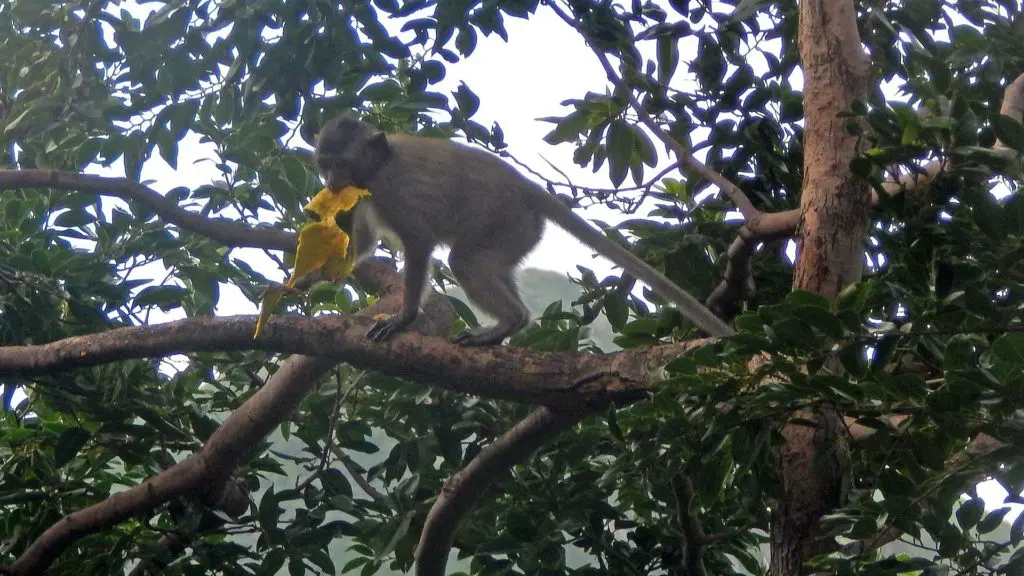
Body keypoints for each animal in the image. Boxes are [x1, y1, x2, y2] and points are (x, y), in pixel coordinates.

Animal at [313, 112, 737, 344]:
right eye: (324, 165)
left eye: (340, 164)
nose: (330, 183)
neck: (378, 165)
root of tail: (520, 182)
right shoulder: (361, 195)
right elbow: (362, 244)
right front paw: (313, 275)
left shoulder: (389, 190)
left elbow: (418, 242)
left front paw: (403, 320)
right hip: (520, 231)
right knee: (487, 265)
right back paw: (512, 323)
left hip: (501, 218)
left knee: (465, 261)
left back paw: (507, 323)